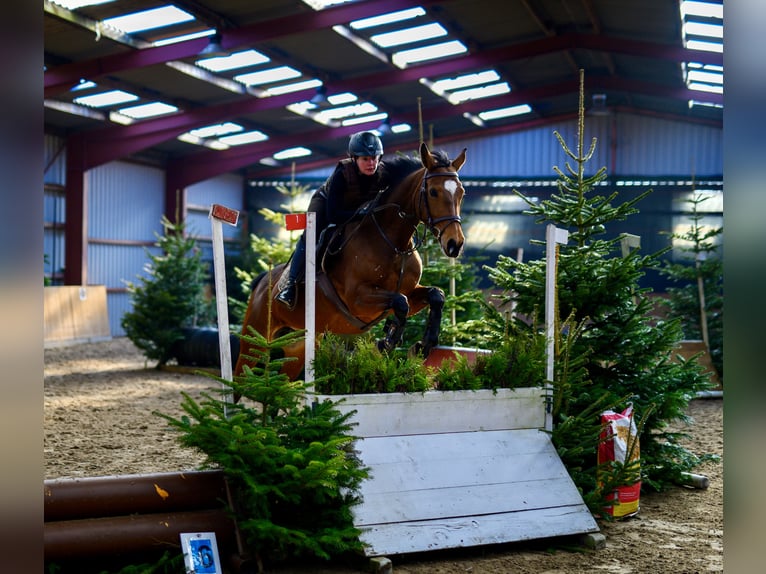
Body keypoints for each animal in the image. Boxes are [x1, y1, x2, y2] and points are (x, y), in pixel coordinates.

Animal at [236, 141, 468, 382]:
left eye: (461, 192)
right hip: (254, 341)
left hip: (296, 346)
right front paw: (388, 341)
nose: (455, 244)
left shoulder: (410, 292)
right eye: (433, 192)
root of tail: (262, 281)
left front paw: (423, 345)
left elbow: (435, 296)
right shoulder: (357, 298)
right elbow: (400, 302)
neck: (394, 243)